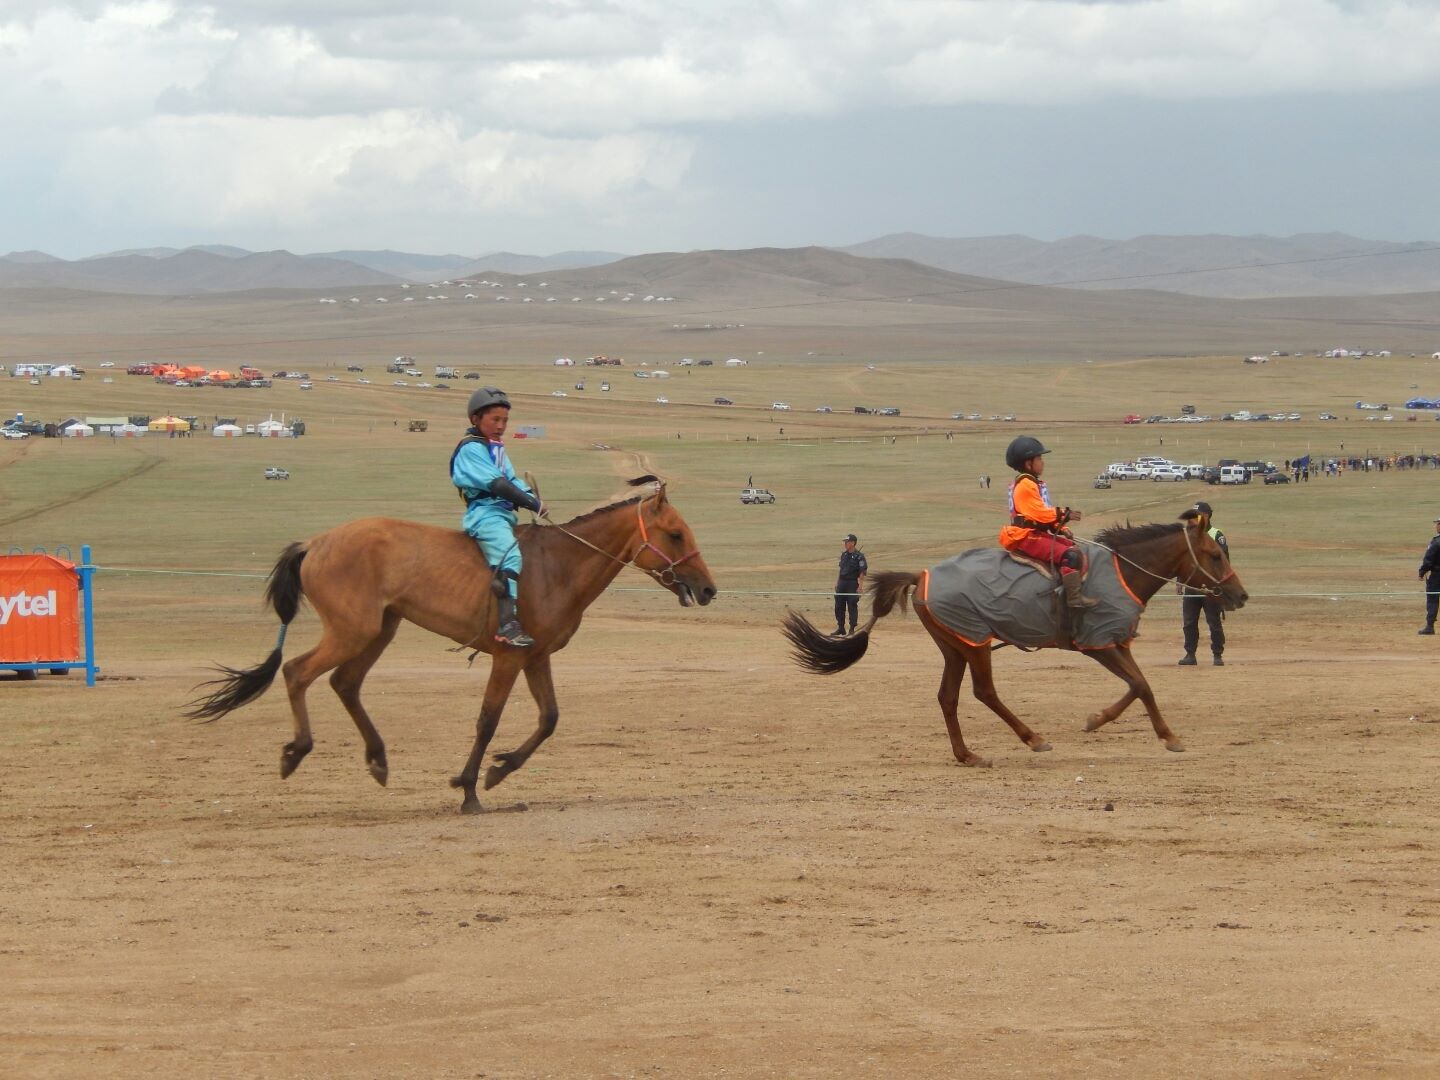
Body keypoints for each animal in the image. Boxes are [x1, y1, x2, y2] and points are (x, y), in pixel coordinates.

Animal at [187, 476, 717, 813]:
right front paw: (469, 789)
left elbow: (548, 719)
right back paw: (296, 752)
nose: (709, 589)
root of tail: (315, 543)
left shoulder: (535, 658)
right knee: (298, 671)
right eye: (675, 534)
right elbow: (487, 721)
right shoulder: (509, 656)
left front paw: (500, 770)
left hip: (380, 629)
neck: (558, 566)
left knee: (345, 683)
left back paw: (378, 760)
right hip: (351, 630)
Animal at [781, 508, 1247, 766]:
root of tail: (923, 575)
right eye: (1215, 554)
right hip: (975, 643)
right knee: (984, 692)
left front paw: (1161, 735)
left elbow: (1142, 686)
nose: (1240, 595)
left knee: (948, 697)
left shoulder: (1114, 641)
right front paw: (1102, 721)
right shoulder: (1098, 643)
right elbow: (1138, 684)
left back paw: (967, 755)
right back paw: (1032, 738)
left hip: (955, 646)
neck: (1121, 572)